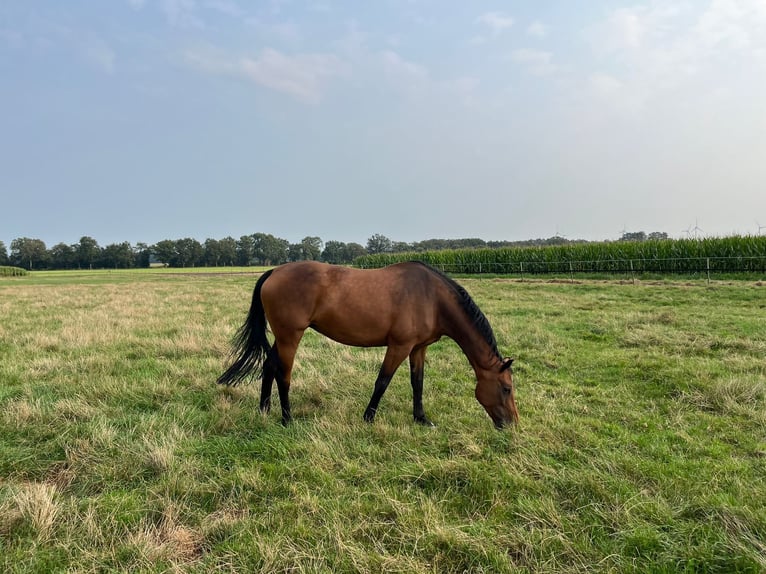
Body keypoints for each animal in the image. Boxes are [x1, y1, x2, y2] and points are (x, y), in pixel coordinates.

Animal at [218, 264, 520, 430]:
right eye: (507, 388)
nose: (512, 425)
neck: (432, 298)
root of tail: (274, 271)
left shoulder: (418, 348)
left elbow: (418, 383)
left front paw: (421, 419)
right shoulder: (399, 346)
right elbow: (382, 381)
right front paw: (368, 418)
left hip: (281, 337)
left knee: (269, 365)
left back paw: (264, 410)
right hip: (290, 336)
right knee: (284, 374)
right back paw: (287, 419)